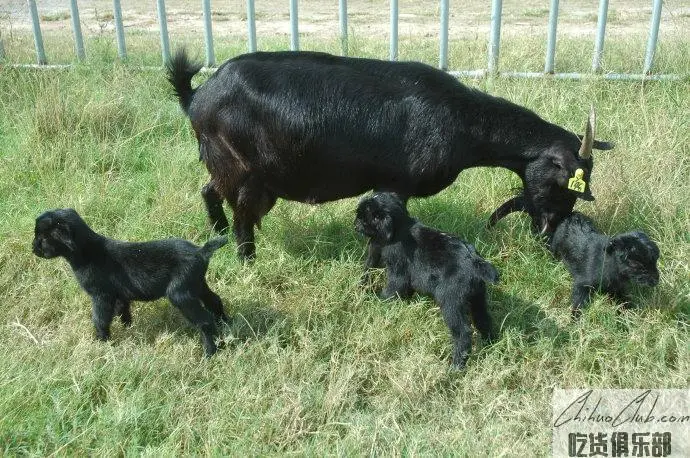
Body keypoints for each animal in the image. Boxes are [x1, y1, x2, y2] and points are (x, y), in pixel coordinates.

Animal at [168, 50, 612, 262]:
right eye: (566, 184)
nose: (549, 233)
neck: (462, 121)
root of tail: (197, 95)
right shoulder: (397, 183)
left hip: (227, 164)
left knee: (210, 191)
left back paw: (217, 235)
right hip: (244, 170)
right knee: (243, 215)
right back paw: (246, 259)